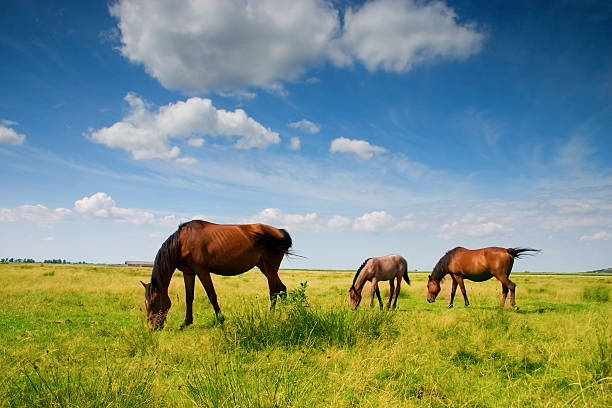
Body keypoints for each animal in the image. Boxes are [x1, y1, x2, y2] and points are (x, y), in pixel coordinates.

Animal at [140, 220, 292, 328]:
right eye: (145, 302)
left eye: (154, 302)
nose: (151, 327)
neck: (182, 243)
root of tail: (280, 232)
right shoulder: (188, 272)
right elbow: (189, 297)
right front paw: (186, 323)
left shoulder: (202, 271)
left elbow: (211, 295)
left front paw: (221, 319)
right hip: (264, 268)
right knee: (282, 288)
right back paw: (287, 312)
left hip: (270, 269)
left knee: (274, 292)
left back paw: (271, 316)